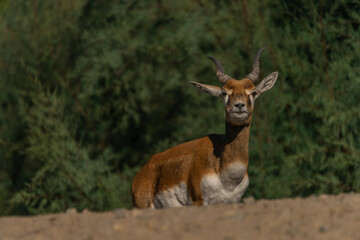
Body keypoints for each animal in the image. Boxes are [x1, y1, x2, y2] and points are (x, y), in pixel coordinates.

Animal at [132, 47, 278, 208]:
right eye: (224, 93)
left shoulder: (232, 201)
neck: (225, 174)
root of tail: (141, 173)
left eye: (253, 92)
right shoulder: (199, 201)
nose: (239, 106)